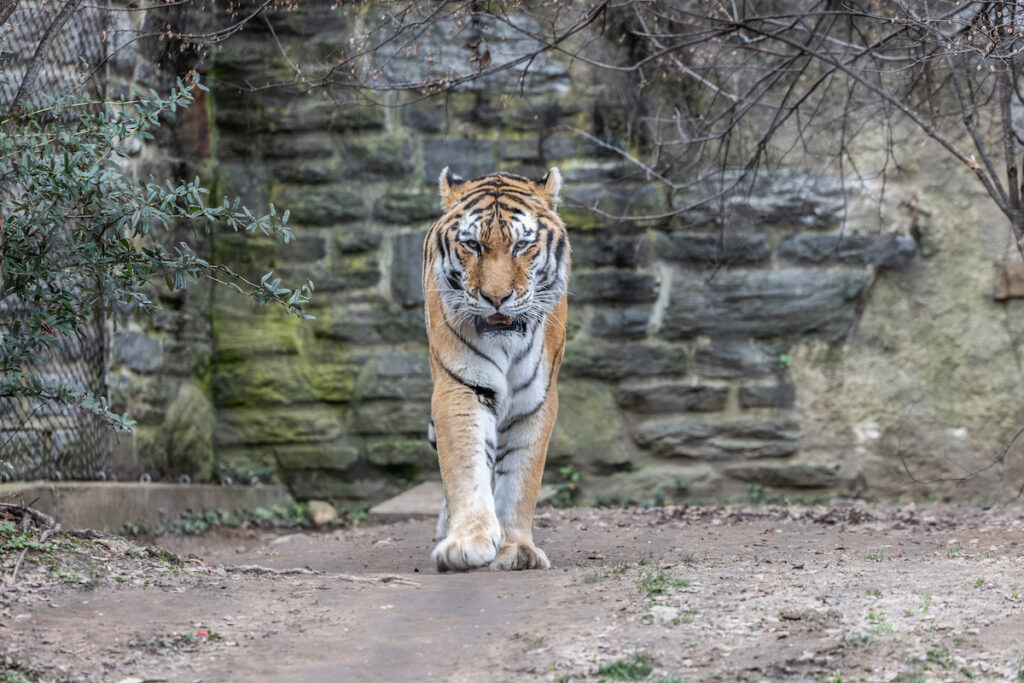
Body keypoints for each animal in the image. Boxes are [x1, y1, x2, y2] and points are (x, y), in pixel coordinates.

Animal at [421, 167, 570, 571]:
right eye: (473, 245)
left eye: (521, 245)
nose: (496, 298)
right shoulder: (462, 387)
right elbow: (466, 465)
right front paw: (466, 542)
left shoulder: (537, 402)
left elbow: (521, 478)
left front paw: (516, 547)